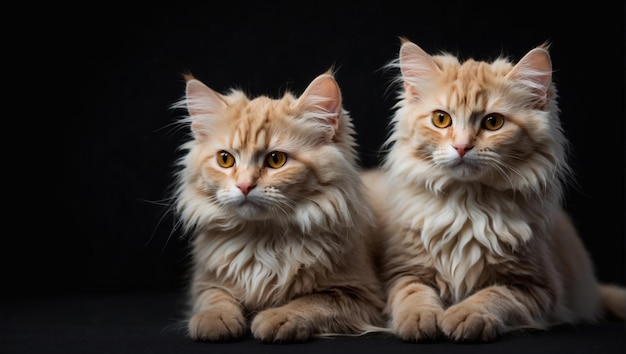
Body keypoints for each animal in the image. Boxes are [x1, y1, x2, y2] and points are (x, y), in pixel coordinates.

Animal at [171, 70, 386, 342]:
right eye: (225, 159)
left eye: (276, 160)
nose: (244, 185)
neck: (262, 240)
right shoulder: (205, 282)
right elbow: (215, 299)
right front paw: (214, 321)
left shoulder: (361, 294)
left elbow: (311, 302)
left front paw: (277, 317)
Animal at [358, 37, 624, 342]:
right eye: (441, 119)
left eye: (493, 122)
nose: (462, 147)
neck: (467, 206)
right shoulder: (403, 270)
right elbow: (413, 294)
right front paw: (420, 320)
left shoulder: (536, 288)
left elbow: (493, 296)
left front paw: (464, 316)